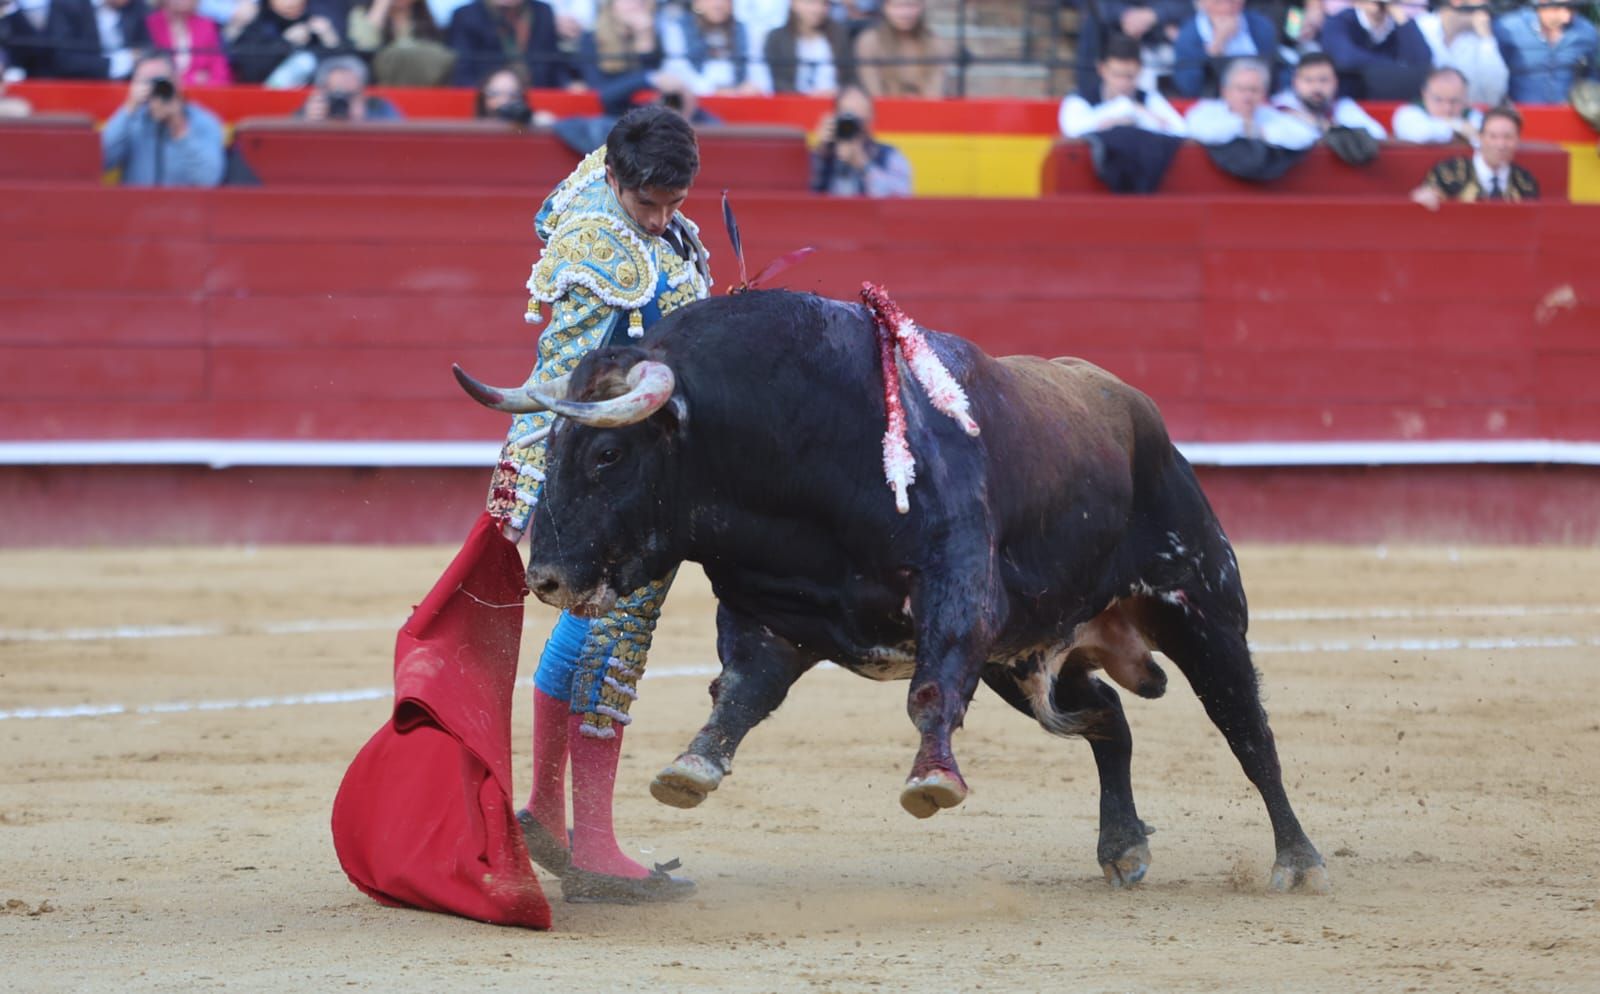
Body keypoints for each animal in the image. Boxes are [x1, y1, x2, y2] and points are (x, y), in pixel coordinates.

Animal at [457, 288, 1331, 889]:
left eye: (607, 456)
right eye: (552, 448)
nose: (544, 576)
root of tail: (1138, 413)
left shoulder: (959, 593)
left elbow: (928, 692)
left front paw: (932, 781)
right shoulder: (773, 610)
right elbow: (739, 692)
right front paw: (690, 769)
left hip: (1201, 607)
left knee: (1247, 729)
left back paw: (1299, 860)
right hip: (1027, 658)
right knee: (1109, 720)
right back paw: (1123, 849)